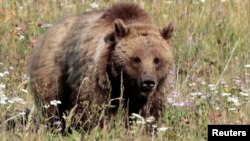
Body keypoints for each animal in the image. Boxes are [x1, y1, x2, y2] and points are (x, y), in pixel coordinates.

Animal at [28, 2, 174, 132]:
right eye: (136, 59)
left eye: (157, 60)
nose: (148, 82)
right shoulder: (97, 73)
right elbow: (92, 105)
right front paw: (95, 128)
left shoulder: (155, 89)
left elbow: (149, 109)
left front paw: (146, 128)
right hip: (53, 72)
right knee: (52, 103)